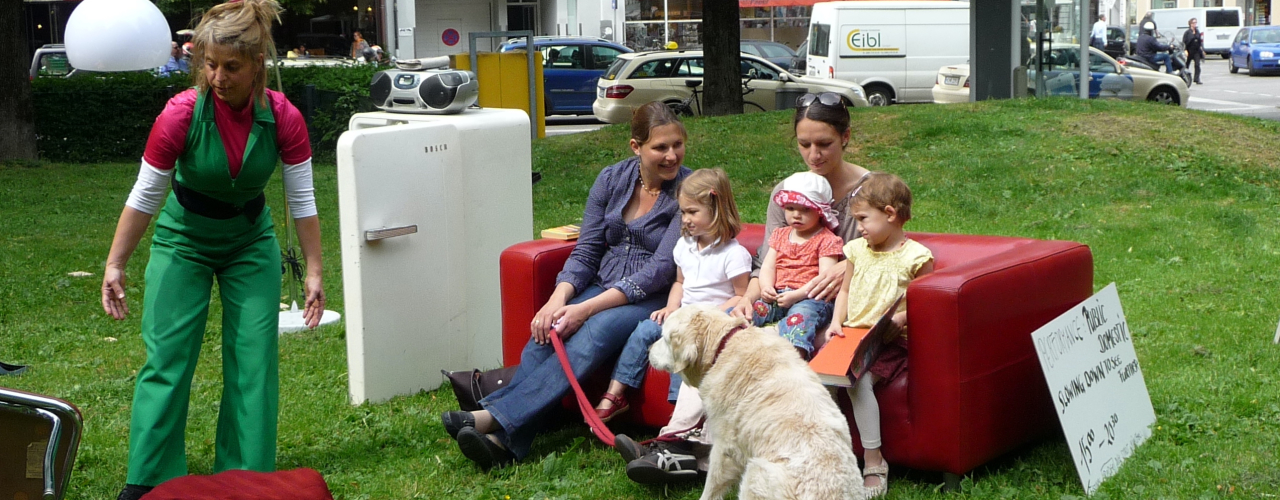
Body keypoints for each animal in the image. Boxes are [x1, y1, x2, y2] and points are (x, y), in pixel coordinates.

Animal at [650, 305, 870, 500]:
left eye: (664, 337)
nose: (649, 349)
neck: (723, 346)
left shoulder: (725, 447)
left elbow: (711, 487)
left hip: (755, 473)